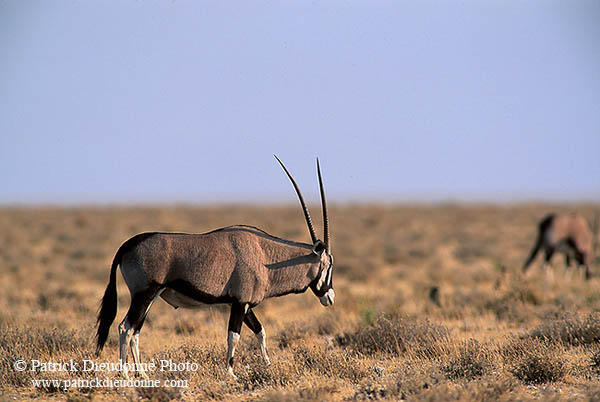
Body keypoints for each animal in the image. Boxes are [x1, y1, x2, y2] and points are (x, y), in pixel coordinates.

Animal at [96, 157, 336, 380]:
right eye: (329, 264)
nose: (330, 298)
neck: (264, 255)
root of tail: (127, 245)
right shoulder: (240, 303)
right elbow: (234, 336)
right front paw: (230, 373)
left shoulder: (244, 305)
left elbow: (261, 331)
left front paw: (268, 365)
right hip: (144, 294)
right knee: (125, 328)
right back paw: (125, 374)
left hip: (150, 297)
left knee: (135, 330)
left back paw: (142, 374)